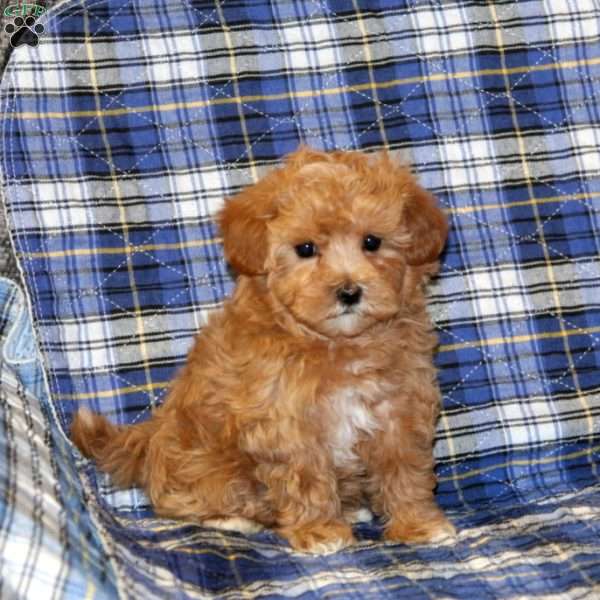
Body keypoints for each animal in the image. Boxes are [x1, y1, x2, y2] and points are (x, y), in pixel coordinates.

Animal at [70, 146, 452, 552]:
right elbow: (306, 480)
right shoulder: (287, 424)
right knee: (187, 502)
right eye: (305, 249)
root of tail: (150, 439)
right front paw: (319, 532)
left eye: (372, 242)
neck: (338, 345)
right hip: (203, 465)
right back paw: (232, 519)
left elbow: (404, 470)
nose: (349, 292)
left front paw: (418, 524)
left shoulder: (399, 410)